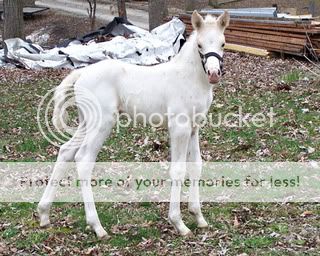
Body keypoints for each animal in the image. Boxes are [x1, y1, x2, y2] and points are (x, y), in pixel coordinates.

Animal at [38, 10, 230, 238]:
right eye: (200, 45)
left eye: (223, 43)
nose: (214, 74)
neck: (189, 78)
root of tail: (82, 73)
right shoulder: (179, 127)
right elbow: (178, 170)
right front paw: (178, 223)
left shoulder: (194, 127)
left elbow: (196, 167)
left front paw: (199, 217)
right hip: (102, 122)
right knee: (83, 159)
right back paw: (97, 226)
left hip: (86, 122)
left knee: (66, 151)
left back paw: (44, 214)